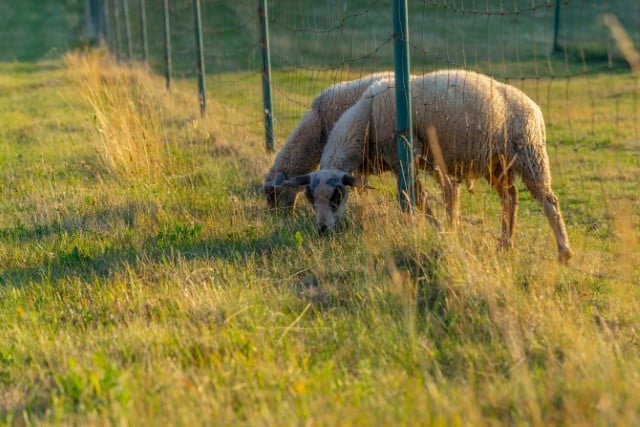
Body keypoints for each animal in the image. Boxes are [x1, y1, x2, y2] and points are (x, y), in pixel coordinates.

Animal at [284, 70, 576, 262]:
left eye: (337, 196)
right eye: (310, 198)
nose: (322, 230)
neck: (366, 118)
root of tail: (534, 106)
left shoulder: (406, 156)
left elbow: (416, 198)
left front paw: (434, 228)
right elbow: (425, 198)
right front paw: (439, 227)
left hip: (530, 154)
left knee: (549, 201)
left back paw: (563, 251)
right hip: (497, 163)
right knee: (510, 198)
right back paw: (505, 244)